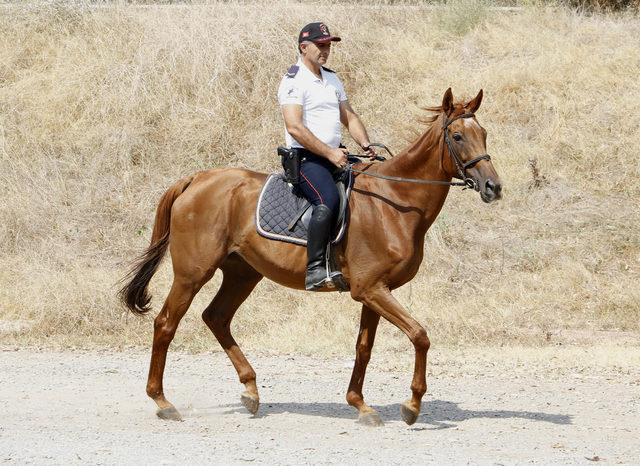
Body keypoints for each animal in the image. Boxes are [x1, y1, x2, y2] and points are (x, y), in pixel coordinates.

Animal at [119, 87, 500, 426]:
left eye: (483, 133)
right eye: (457, 136)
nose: (493, 187)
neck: (394, 201)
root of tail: (196, 179)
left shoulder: (375, 290)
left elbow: (364, 347)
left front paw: (360, 405)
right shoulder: (371, 290)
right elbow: (420, 335)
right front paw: (412, 406)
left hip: (243, 273)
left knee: (217, 317)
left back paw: (251, 391)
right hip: (193, 273)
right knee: (166, 323)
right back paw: (163, 402)